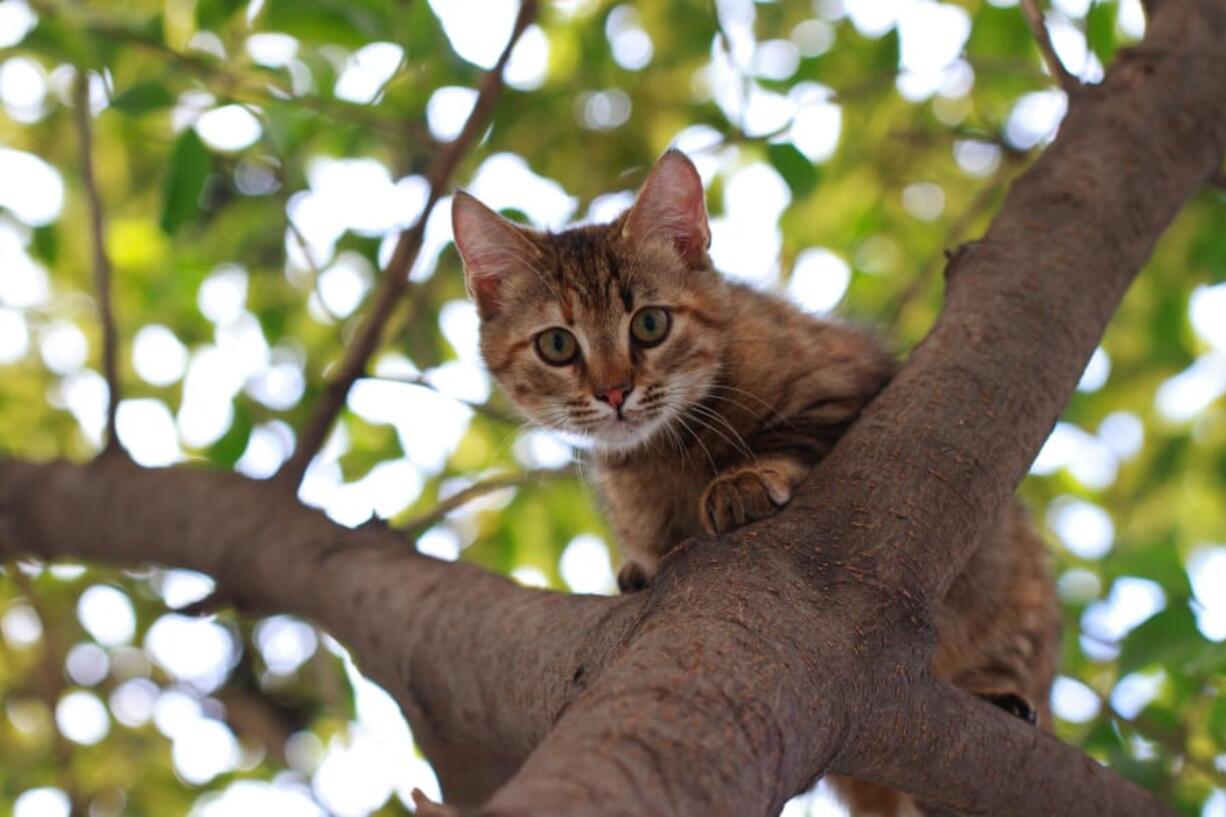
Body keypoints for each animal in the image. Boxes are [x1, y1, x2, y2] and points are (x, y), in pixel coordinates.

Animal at [451, 149, 1064, 809]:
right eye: (558, 345)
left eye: (649, 325)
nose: (614, 392)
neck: (665, 455)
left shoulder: (844, 385)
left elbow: (793, 437)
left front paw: (740, 481)